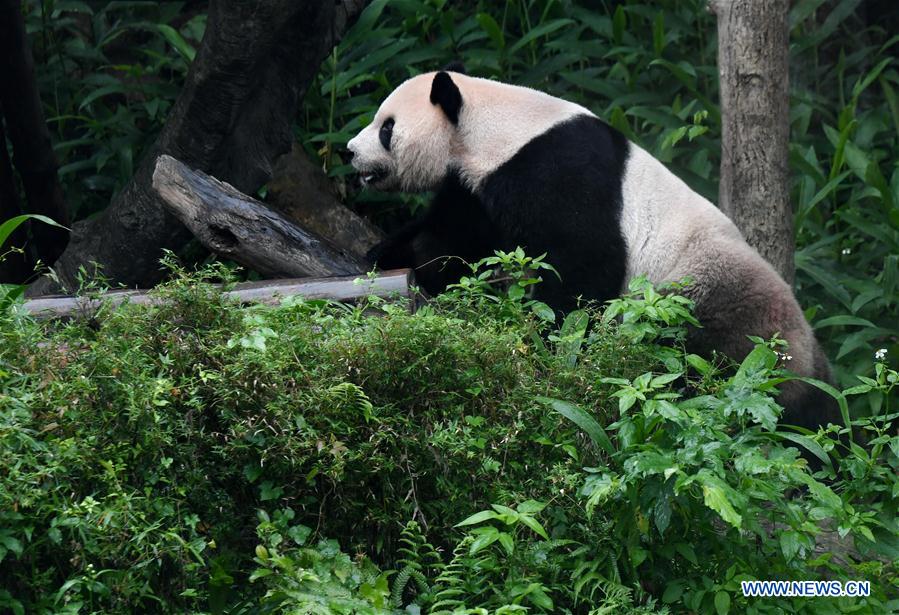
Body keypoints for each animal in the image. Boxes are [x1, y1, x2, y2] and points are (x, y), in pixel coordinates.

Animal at [348, 68, 840, 434]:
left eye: (387, 127)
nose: (351, 151)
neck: (492, 129)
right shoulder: (474, 190)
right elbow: (448, 242)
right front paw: (385, 256)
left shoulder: (557, 174)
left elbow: (581, 272)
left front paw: (549, 343)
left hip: (711, 300)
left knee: (714, 362)